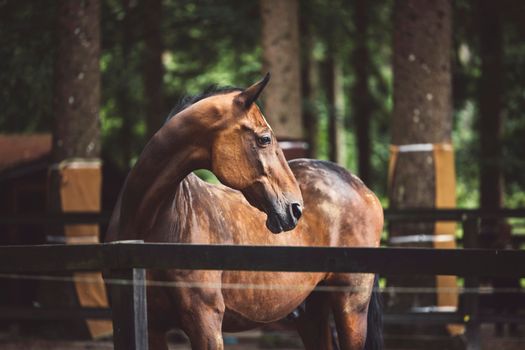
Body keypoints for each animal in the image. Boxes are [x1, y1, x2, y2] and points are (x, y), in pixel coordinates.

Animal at [106, 75, 382, 348]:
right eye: (264, 139)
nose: (295, 208)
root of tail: (359, 185)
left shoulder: (205, 322)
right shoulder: (146, 326)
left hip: (351, 306)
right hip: (311, 313)